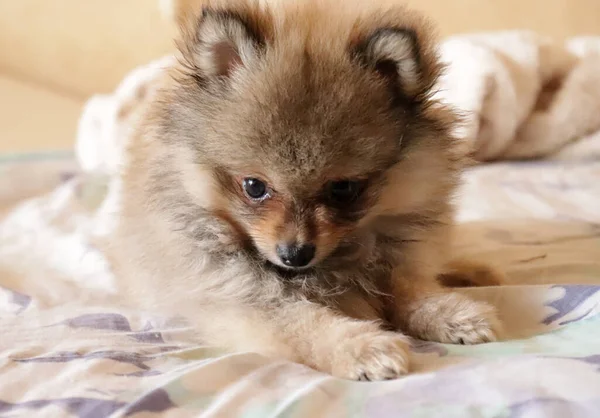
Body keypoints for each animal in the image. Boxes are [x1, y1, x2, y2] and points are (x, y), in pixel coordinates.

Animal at [106, 0, 502, 378]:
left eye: (343, 189)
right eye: (254, 187)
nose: (294, 253)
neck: (332, 265)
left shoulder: (397, 264)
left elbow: (413, 291)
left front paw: (453, 314)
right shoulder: (241, 297)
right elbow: (304, 323)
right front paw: (363, 348)